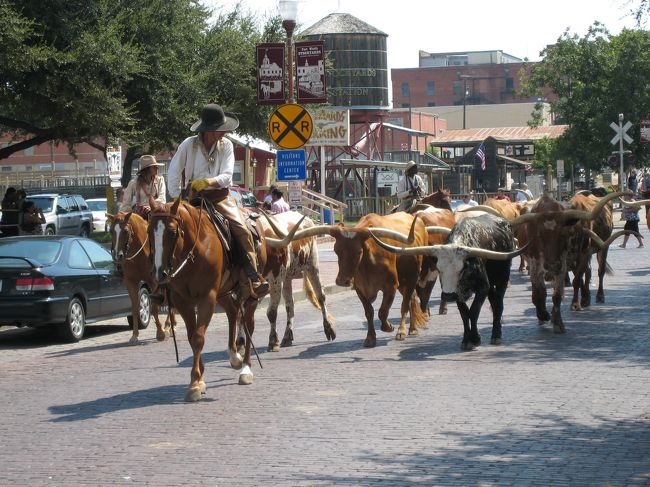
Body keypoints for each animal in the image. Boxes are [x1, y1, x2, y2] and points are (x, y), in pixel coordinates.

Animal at [107, 212, 176, 346]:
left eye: (126, 230)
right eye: (111, 231)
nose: (118, 256)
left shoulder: (153, 282)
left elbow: (154, 308)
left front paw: (160, 333)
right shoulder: (130, 283)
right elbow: (135, 308)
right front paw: (134, 335)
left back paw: (168, 327)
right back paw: (172, 325)